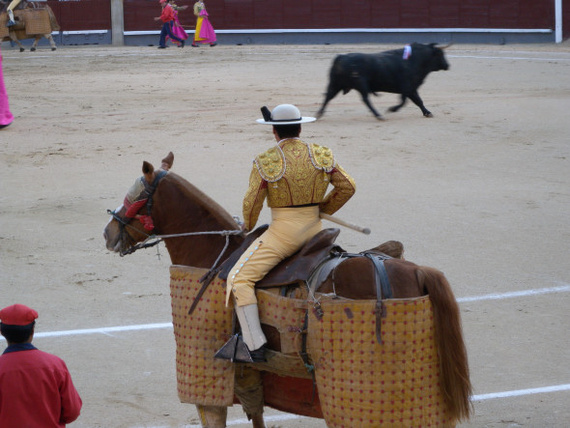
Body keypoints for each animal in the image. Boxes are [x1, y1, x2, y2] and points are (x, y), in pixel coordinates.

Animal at [102, 152, 470, 426]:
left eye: (133, 196)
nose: (108, 233)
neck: (211, 252)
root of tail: (418, 270)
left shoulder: (206, 375)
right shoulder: (249, 372)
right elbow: (256, 413)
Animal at [316, 42, 448, 119]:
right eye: (440, 54)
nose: (447, 65)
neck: (414, 60)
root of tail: (341, 57)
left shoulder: (411, 88)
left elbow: (418, 101)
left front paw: (427, 112)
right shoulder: (407, 87)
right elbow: (404, 101)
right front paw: (392, 109)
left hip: (336, 84)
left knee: (328, 96)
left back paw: (319, 113)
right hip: (360, 85)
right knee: (366, 99)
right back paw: (378, 115)